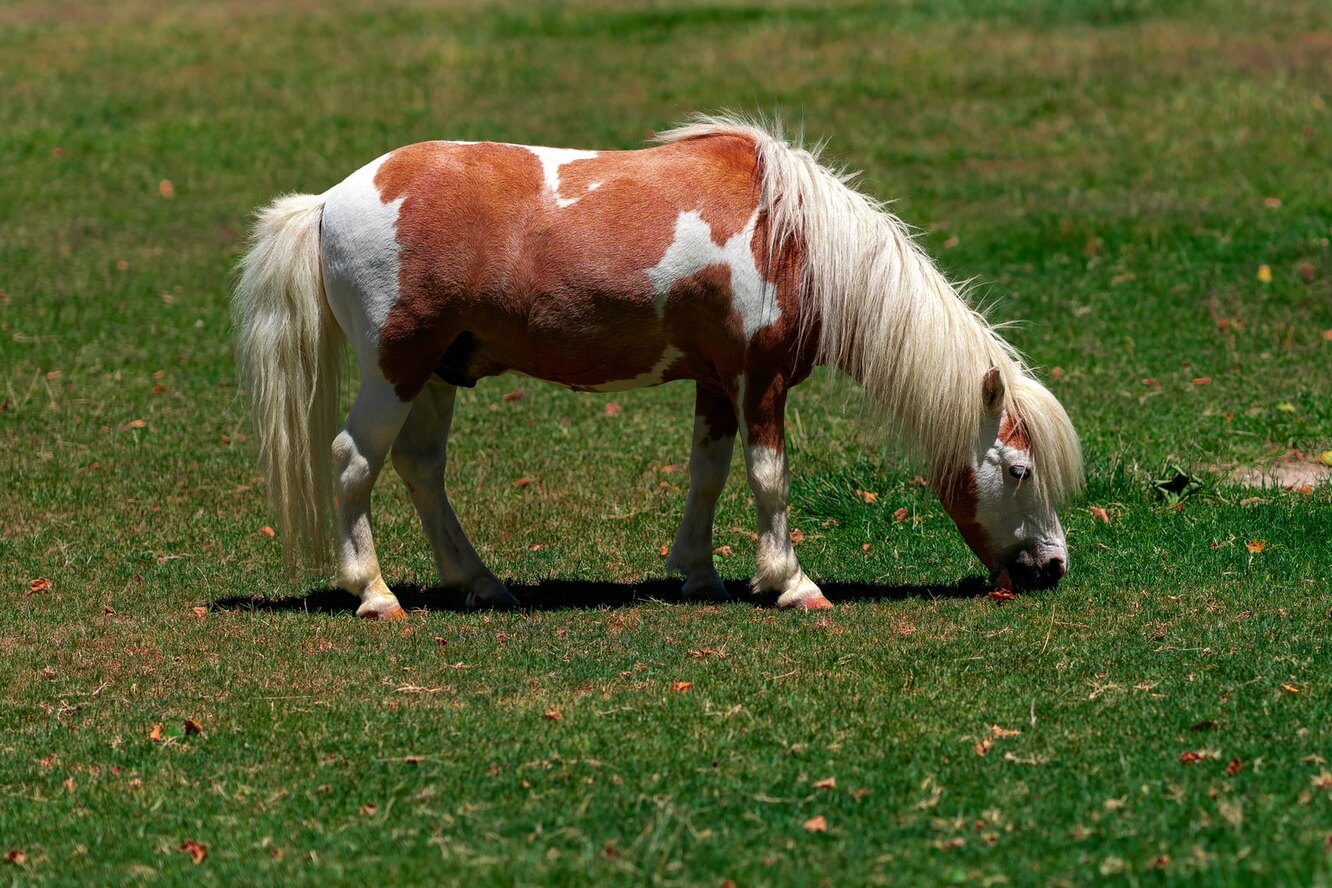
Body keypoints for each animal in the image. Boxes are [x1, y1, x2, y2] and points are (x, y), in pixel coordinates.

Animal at [231, 114, 1081, 623]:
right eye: (1016, 470)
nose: (1052, 567)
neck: (792, 236)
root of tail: (329, 202)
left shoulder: (716, 382)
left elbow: (707, 472)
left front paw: (700, 575)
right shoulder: (761, 380)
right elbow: (768, 477)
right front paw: (792, 582)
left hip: (439, 372)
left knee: (419, 467)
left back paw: (479, 582)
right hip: (395, 368)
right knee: (354, 461)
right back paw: (375, 595)